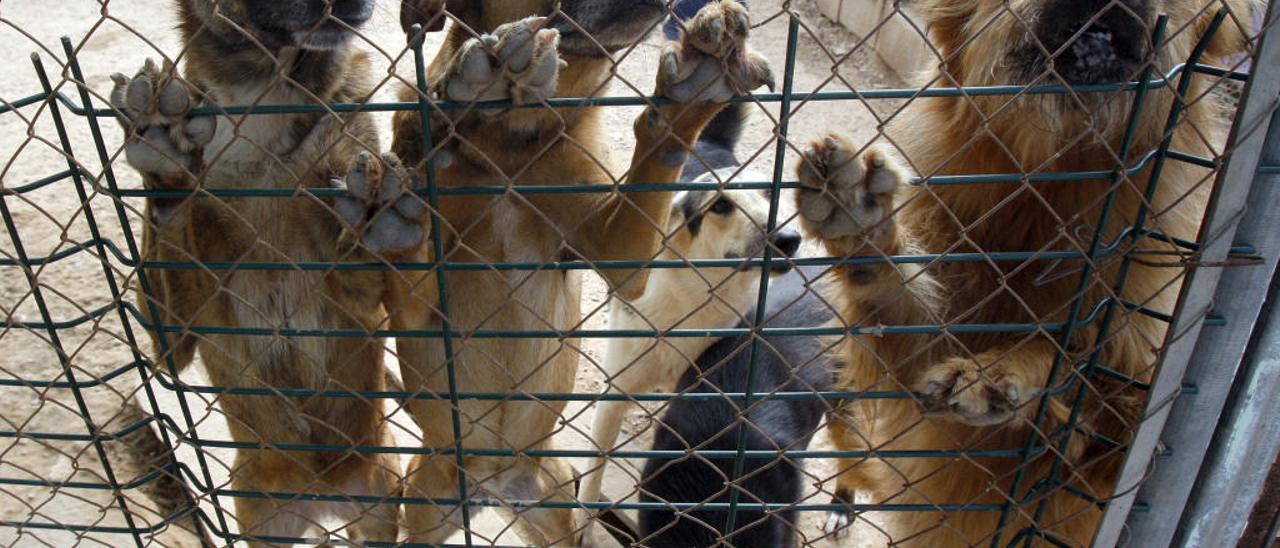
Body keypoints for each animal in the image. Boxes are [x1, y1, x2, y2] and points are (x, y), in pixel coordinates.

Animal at [335, 1, 773, 542]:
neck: (510, 142)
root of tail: (491, 485)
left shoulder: (623, 260)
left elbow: (657, 155)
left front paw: (692, 93)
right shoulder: (420, 307)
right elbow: (409, 276)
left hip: (555, 503)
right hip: (425, 507)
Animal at [578, 102, 798, 540]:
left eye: (772, 193)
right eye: (721, 206)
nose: (789, 239)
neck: (691, 298)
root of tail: (708, 141)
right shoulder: (614, 392)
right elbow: (593, 473)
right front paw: (582, 527)